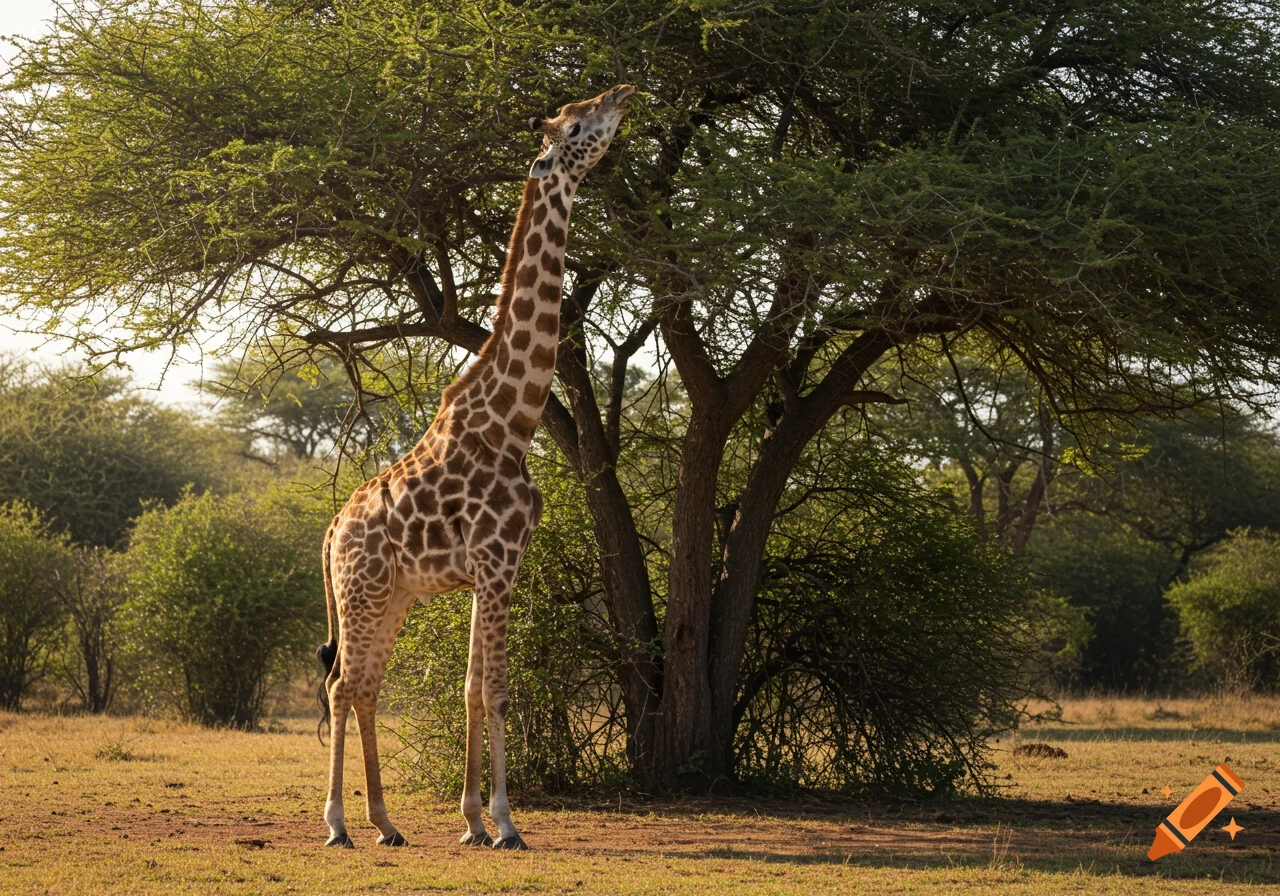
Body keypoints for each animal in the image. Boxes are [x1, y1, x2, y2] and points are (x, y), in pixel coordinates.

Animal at [316, 84, 635, 852]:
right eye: (574, 126)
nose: (624, 93)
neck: (511, 423)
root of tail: (332, 531)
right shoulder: (497, 561)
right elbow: (494, 689)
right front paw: (505, 823)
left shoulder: (492, 569)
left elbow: (468, 687)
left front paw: (469, 820)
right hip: (364, 592)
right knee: (343, 686)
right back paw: (339, 823)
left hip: (392, 596)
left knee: (364, 686)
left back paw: (386, 823)